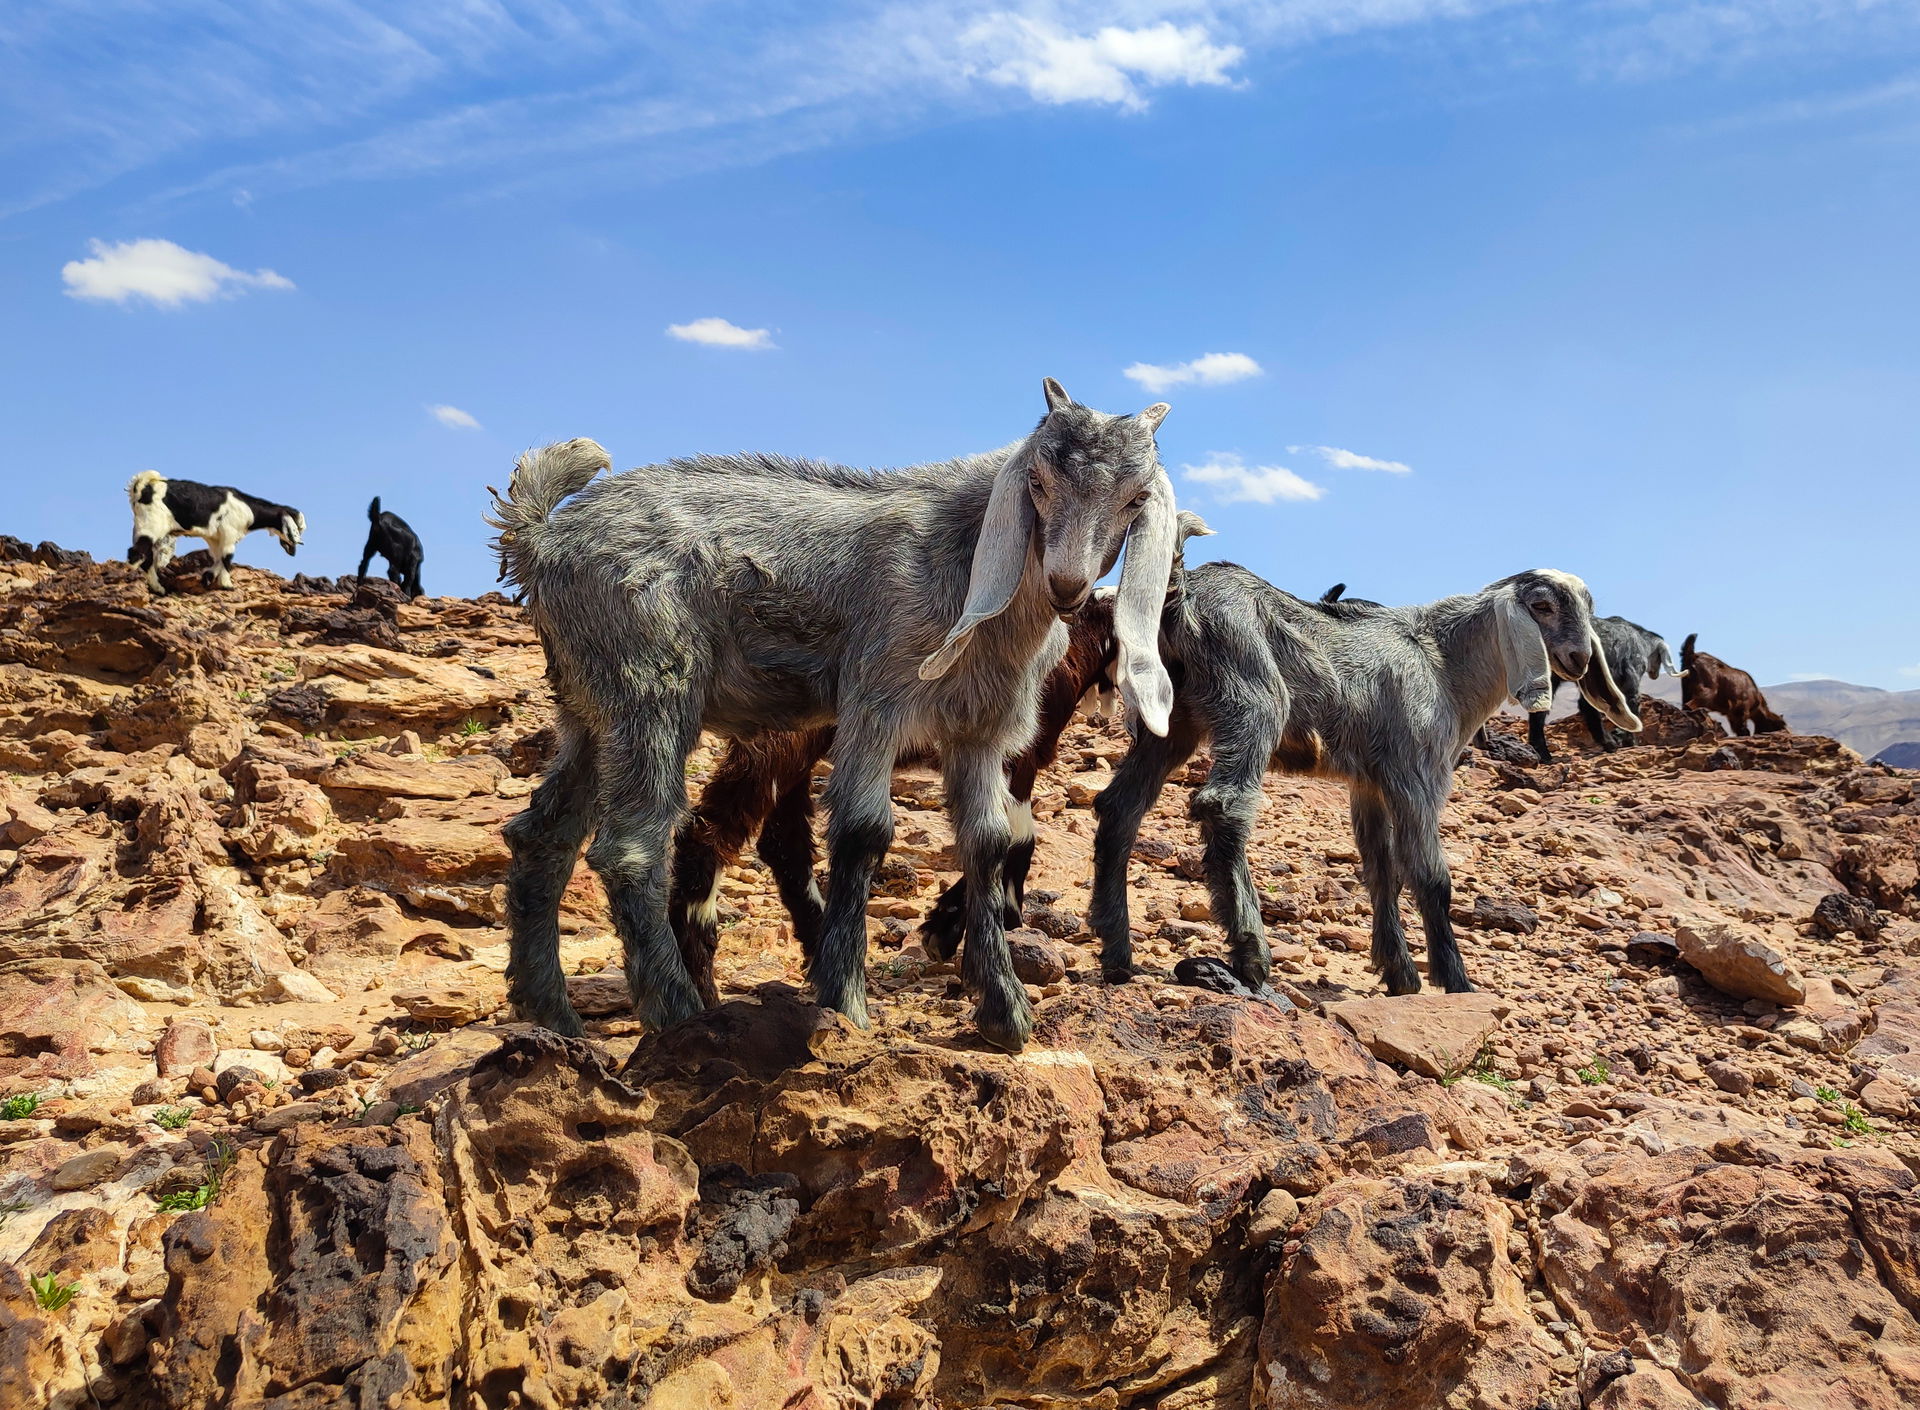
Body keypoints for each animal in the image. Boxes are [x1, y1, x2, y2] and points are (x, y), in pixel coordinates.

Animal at [126, 471, 304, 595]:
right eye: (298, 527)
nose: (294, 549)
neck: (247, 508)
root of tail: (142, 486)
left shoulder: (214, 538)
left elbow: (218, 557)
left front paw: (208, 577)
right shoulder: (229, 534)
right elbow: (227, 558)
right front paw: (227, 585)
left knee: (146, 556)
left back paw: (157, 588)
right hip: (151, 525)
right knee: (137, 553)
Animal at [488, 379, 1182, 1052]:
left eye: (1135, 498)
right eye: (1036, 481)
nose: (1068, 584)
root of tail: (541, 541)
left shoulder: (981, 731)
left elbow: (988, 842)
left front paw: (1005, 1012)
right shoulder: (877, 697)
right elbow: (863, 831)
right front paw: (845, 1000)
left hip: (588, 706)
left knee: (541, 834)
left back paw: (551, 1011)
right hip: (650, 686)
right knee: (631, 848)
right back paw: (680, 1015)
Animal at [1089, 566, 1641, 997]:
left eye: (1589, 609)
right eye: (1542, 606)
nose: (1579, 660)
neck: (1444, 666)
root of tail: (1181, 595)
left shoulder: (1369, 784)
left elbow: (1382, 870)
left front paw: (1400, 974)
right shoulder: (1418, 774)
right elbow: (1431, 876)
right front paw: (1455, 980)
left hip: (1170, 717)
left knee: (1120, 806)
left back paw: (1116, 948)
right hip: (1253, 700)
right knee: (1221, 805)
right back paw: (1251, 953)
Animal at [1523, 615, 1675, 761]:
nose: (1655, 674)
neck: (1642, 640)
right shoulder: (1630, 677)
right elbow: (1632, 704)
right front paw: (1629, 740)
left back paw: (1543, 753)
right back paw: (1609, 743)